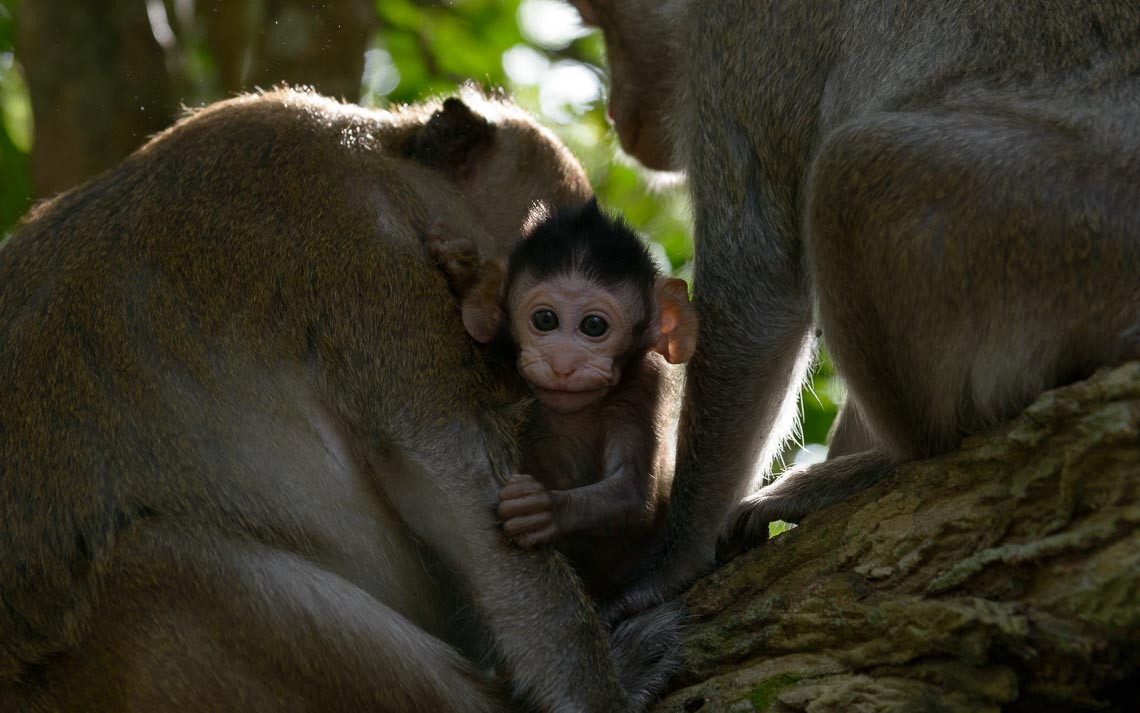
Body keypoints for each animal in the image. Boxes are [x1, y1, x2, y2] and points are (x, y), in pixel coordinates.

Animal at [426, 198, 693, 593]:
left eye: (594, 326)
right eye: (545, 320)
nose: (563, 363)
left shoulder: (645, 386)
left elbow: (634, 492)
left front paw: (542, 510)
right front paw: (459, 267)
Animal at [567, 0, 1140, 602]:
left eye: (598, 16)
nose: (616, 111)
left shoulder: (740, 40)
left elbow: (759, 287)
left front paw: (669, 564)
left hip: (1058, 228)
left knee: (850, 169)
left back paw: (882, 464)